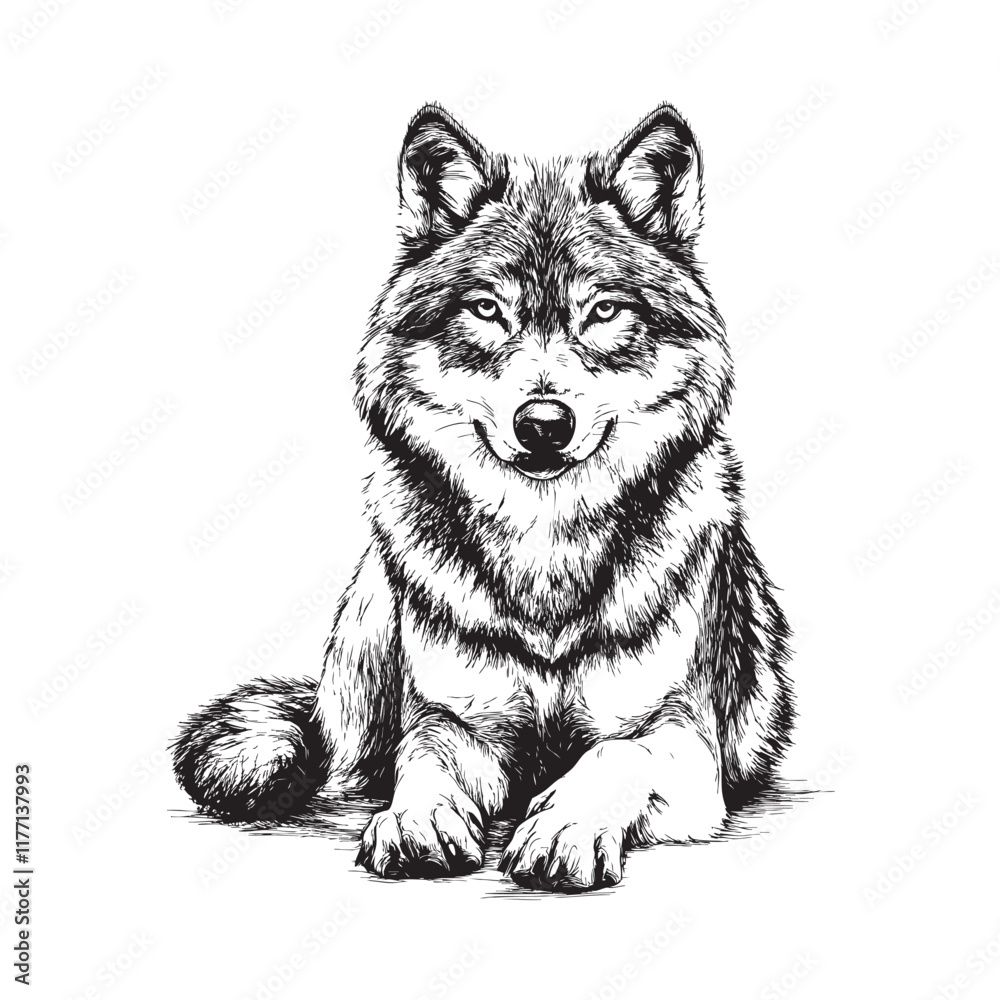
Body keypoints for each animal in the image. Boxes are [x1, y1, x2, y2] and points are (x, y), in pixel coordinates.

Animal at [172, 101, 794, 893]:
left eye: (603, 311)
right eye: (487, 309)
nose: (544, 424)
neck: (545, 549)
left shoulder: (679, 734)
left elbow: (612, 753)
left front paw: (561, 828)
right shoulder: (461, 722)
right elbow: (424, 757)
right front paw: (418, 821)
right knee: (347, 758)